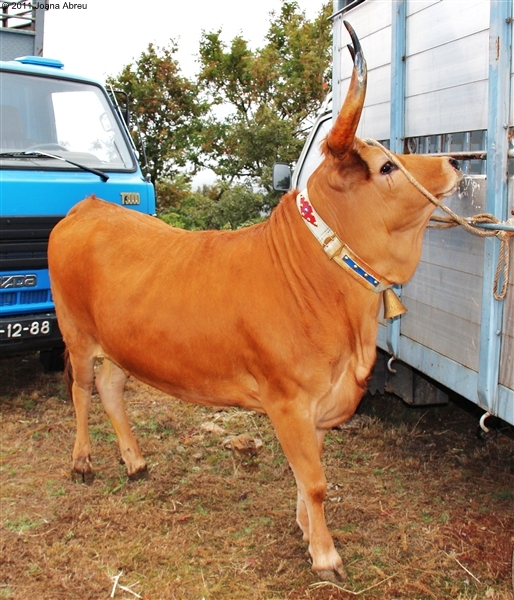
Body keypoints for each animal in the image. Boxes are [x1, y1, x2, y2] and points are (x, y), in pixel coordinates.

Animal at [47, 23, 456, 580]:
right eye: (388, 166)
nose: (454, 160)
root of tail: (88, 208)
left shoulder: (317, 406)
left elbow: (309, 477)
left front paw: (306, 532)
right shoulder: (288, 402)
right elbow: (316, 481)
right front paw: (327, 556)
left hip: (119, 343)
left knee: (110, 389)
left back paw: (135, 461)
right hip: (75, 331)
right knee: (82, 391)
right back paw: (82, 462)